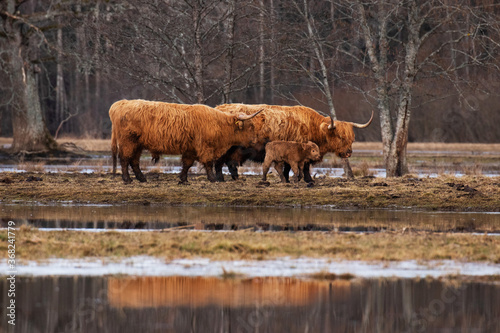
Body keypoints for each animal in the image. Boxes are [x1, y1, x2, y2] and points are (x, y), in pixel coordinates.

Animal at [110, 99, 264, 184]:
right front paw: (213, 179)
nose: (256, 140)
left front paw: (183, 179)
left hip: (138, 144)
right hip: (128, 141)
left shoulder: (190, 149)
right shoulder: (205, 147)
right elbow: (208, 163)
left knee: (134, 161)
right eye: (250, 126)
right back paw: (127, 179)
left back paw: (141, 178)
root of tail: (121, 104)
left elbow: (187, 164)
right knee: (124, 159)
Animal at [215, 104, 372, 182]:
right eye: (340, 136)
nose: (348, 153)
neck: (313, 127)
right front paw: (308, 180)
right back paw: (220, 179)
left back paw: (234, 177)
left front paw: (289, 179)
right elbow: (303, 166)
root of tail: (218, 108)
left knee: (229, 163)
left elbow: (288, 167)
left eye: (352, 138)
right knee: (219, 162)